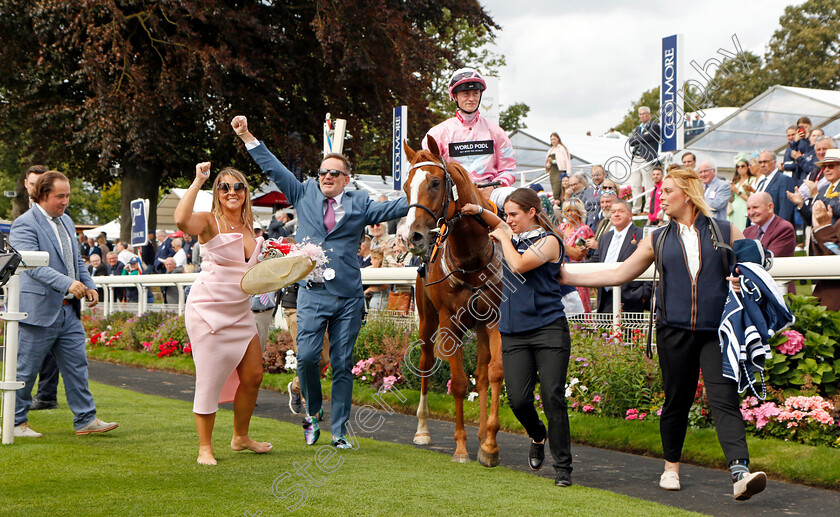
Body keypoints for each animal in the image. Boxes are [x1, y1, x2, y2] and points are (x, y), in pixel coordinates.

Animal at [404, 135, 502, 466]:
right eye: (405, 186)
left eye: (435, 182)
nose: (413, 236)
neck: (472, 258)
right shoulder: (449, 322)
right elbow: (458, 383)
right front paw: (460, 448)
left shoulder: (494, 319)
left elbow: (494, 373)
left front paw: (489, 445)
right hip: (427, 320)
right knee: (425, 363)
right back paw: (422, 430)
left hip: (478, 326)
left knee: (482, 375)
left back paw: (483, 435)